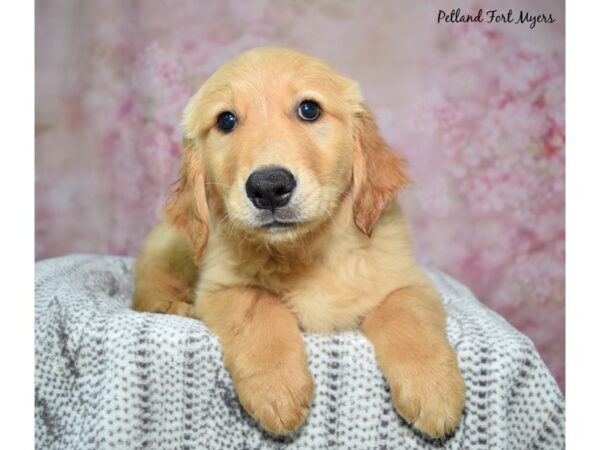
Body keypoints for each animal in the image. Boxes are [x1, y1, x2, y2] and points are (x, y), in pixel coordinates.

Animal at [134, 47, 466, 438]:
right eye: (226, 121)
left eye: (309, 109)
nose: (268, 187)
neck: (304, 250)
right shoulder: (219, 287)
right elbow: (256, 304)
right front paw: (277, 388)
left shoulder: (407, 279)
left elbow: (405, 311)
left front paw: (434, 390)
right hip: (169, 245)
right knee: (147, 288)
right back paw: (171, 306)